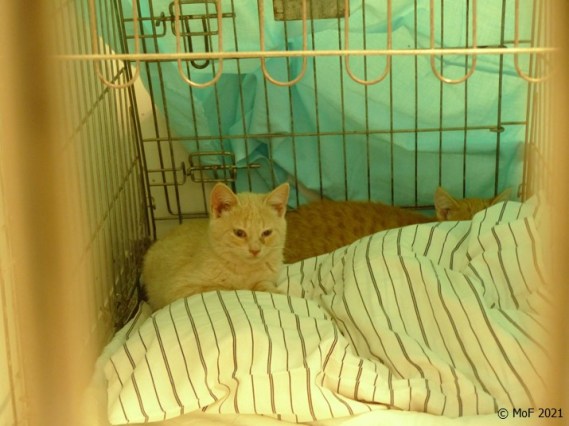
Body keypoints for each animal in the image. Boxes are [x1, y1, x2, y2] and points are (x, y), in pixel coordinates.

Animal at [142, 183, 290, 311]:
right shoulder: (179, 290)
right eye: (239, 233)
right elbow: (226, 288)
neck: (244, 270)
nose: (255, 250)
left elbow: (264, 285)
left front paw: (274, 291)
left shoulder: (268, 278)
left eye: (267, 233)